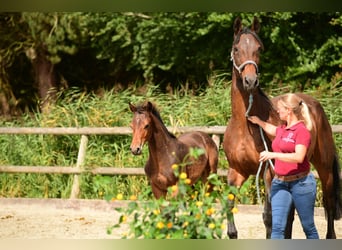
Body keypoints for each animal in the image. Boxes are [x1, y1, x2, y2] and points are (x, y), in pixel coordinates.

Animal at [223, 16, 340, 239]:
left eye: (259, 49)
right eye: (236, 48)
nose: (250, 81)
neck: (245, 125)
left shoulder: (269, 172)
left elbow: (269, 218)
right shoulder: (236, 172)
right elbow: (229, 212)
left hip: (324, 167)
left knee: (329, 203)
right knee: (291, 214)